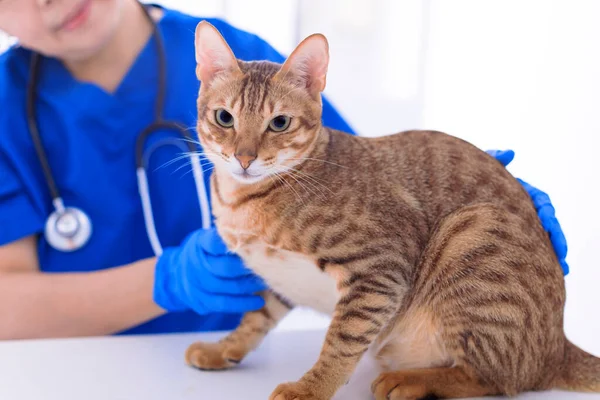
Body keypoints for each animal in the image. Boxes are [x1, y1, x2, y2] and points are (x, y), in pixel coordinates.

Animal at [183, 21, 600, 400]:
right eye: (225, 118)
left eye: (279, 122)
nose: (244, 158)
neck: (243, 201)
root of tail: (559, 346)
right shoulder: (280, 279)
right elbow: (256, 317)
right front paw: (224, 347)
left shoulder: (380, 269)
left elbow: (342, 341)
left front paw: (310, 388)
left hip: (470, 232)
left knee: (497, 378)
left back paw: (414, 380)